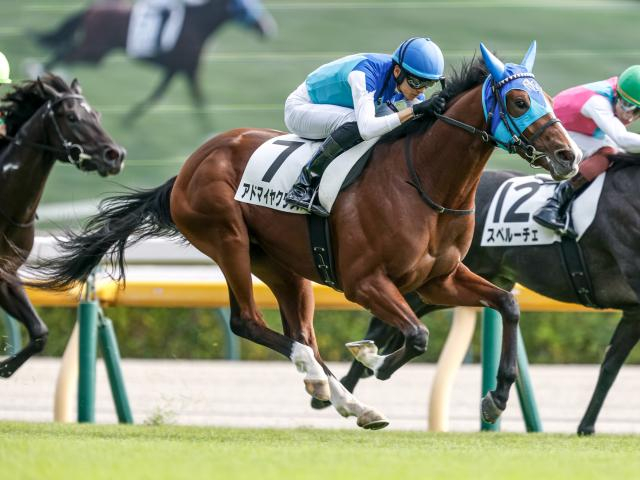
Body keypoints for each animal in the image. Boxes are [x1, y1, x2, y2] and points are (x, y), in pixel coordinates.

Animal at [0, 74, 126, 378]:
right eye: (72, 117)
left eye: (96, 115)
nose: (115, 155)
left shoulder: (7, 273)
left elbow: (40, 333)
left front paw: (4, 367)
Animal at [32, 43, 581, 429]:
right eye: (517, 99)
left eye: (547, 98)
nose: (568, 156)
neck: (424, 182)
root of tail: (187, 168)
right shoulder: (365, 282)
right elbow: (417, 335)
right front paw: (372, 358)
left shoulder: (438, 279)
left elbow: (507, 305)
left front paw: (496, 398)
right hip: (227, 240)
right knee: (249, 323)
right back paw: (321, 380)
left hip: (284, 267)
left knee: (303, 334)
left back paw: (350, 403)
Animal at [35, 0, 277, 122]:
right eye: (246, 6)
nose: (267, 28)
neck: (197, 23)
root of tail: (91, 9)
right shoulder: (189, 69)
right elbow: (199, 99)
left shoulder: (176, 69)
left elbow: (158, 95)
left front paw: (129, 119)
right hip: (94, 50)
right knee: (65, 53)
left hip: (96, 52)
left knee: (64, 51)